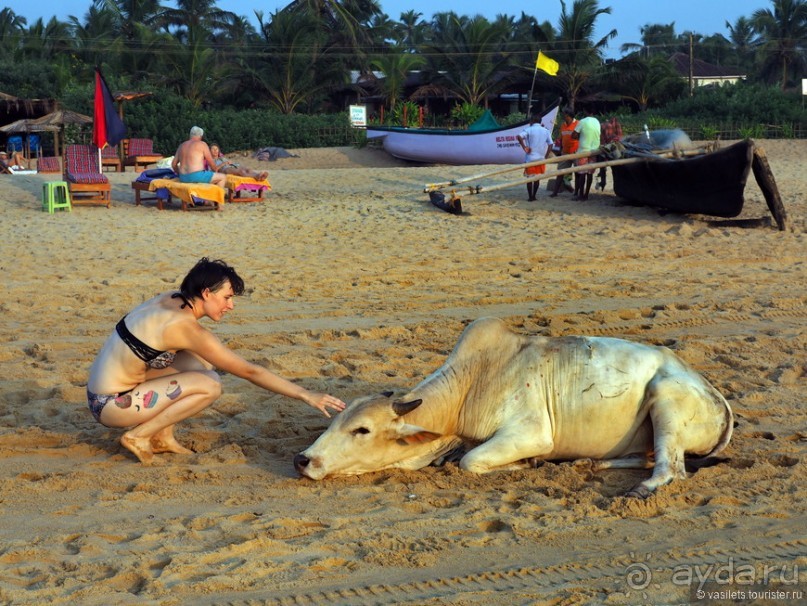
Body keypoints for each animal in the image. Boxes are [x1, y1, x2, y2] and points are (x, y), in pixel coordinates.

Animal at [294, 318, 736, 498]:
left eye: (362, 430)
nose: (303, 459)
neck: (471, 384)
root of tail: (715, 394)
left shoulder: (529, 433)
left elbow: (469, 461)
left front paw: (526, 464)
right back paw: (592, 463)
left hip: (665, 399)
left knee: (671, 469)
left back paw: (639, 489)